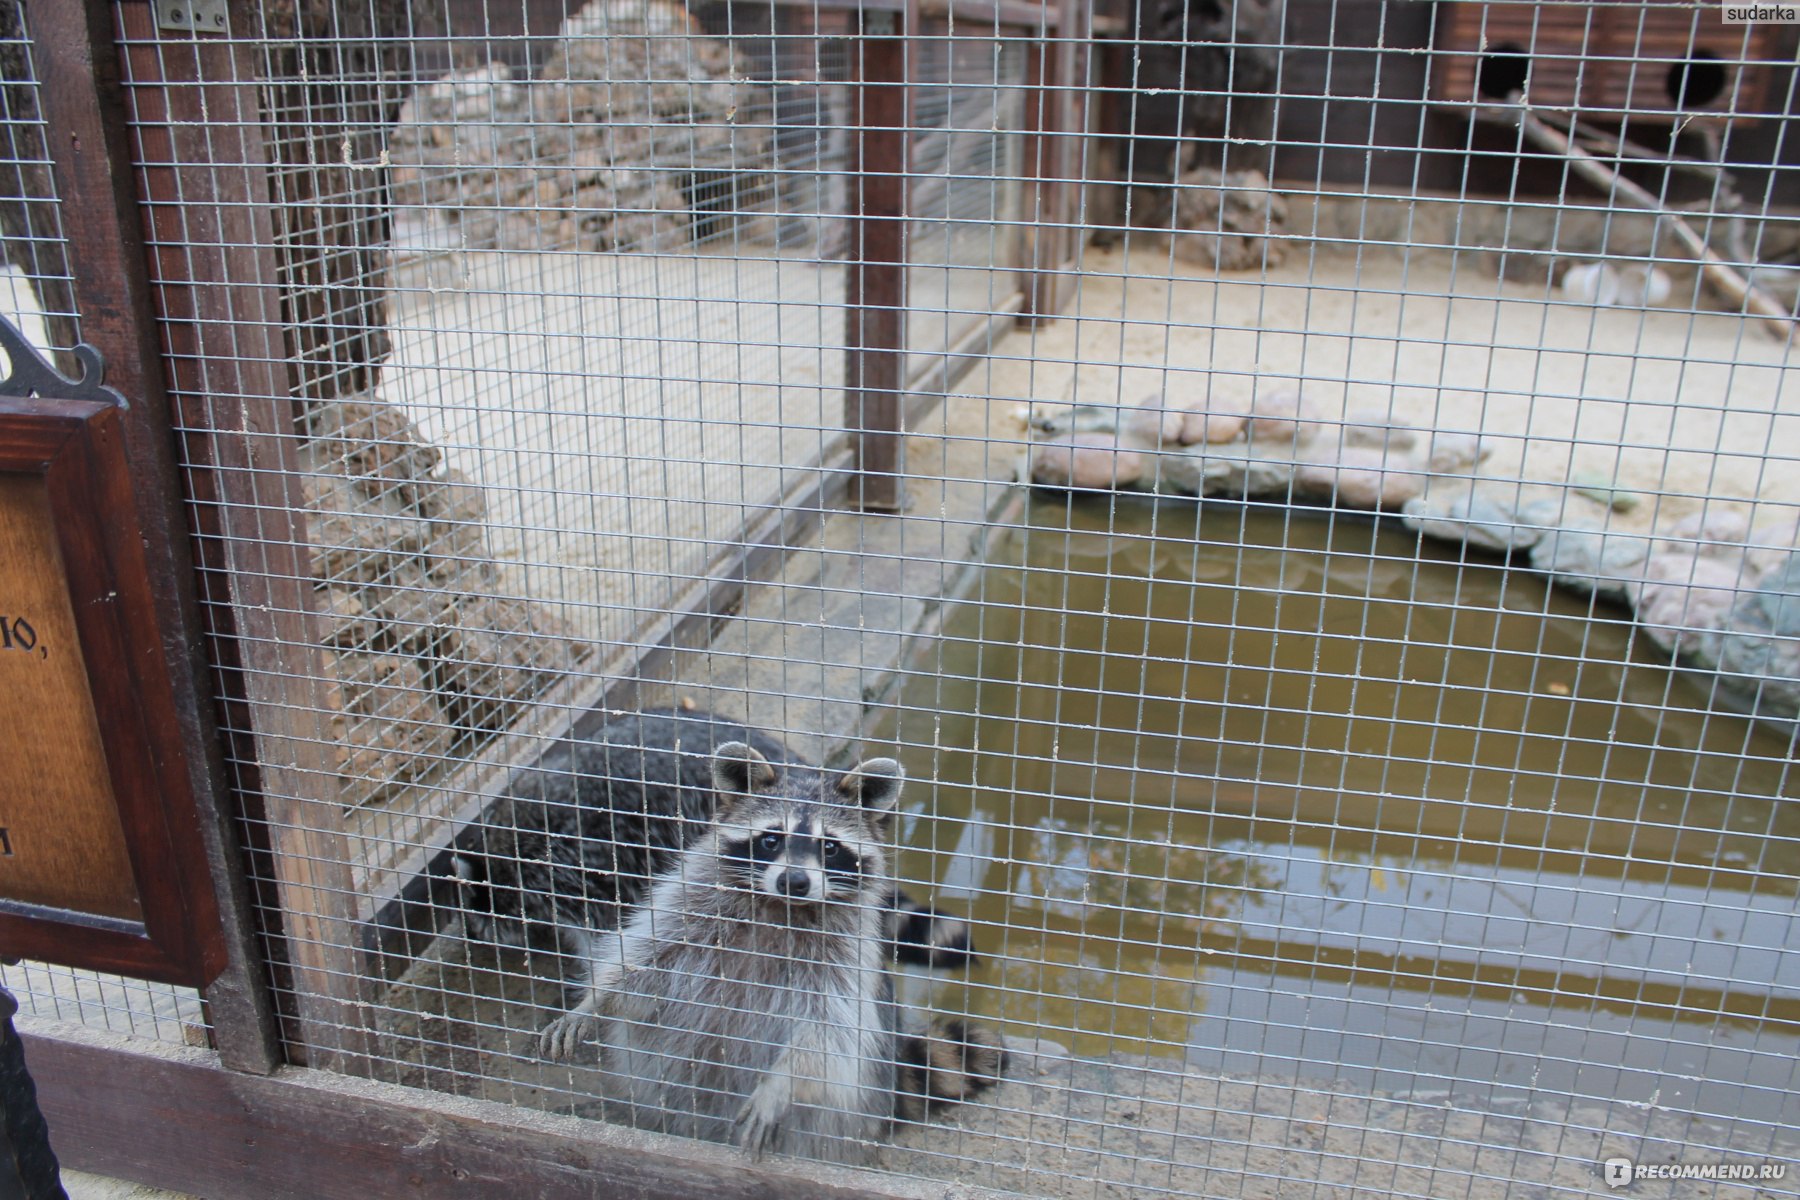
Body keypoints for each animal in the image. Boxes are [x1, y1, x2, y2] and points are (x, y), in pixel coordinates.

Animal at [540, 741, 1008, 1165]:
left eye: (829, 846)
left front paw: (779, 1083)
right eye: (771, 839)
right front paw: (596, 1000)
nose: (794, 881)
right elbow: (647, 960)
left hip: (837, 1117)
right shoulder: (692, 903)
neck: (781, 907)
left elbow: (829, 1027)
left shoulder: (846, 956)